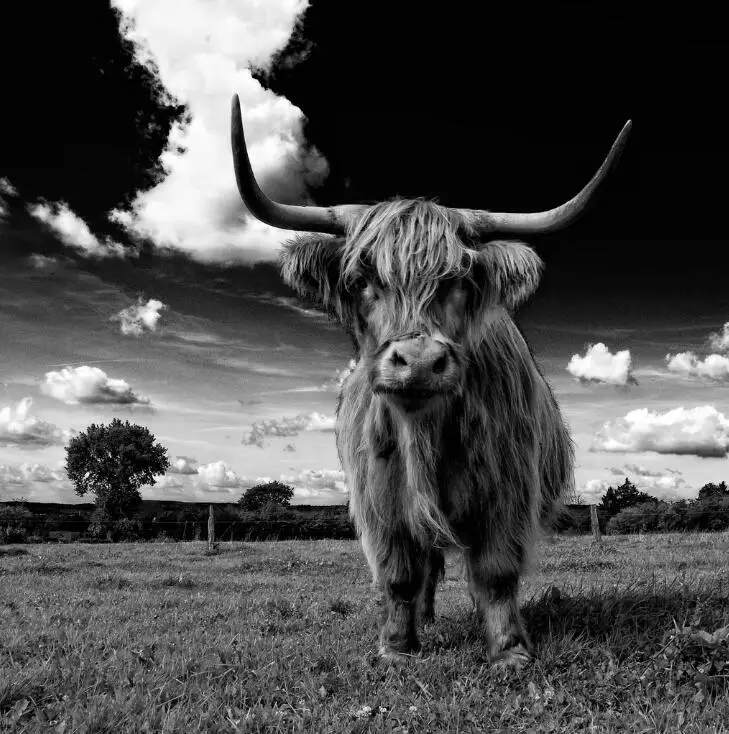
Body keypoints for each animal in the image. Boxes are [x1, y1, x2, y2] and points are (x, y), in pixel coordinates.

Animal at [230, 95, 631, 667]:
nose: (419, 361)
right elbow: (399, 575)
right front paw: (398, 648)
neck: (425, 435)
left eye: (459, 280)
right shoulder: (380, 501)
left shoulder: (507, 493)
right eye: (361, 280)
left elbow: (496, 573)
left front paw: (509, 650)